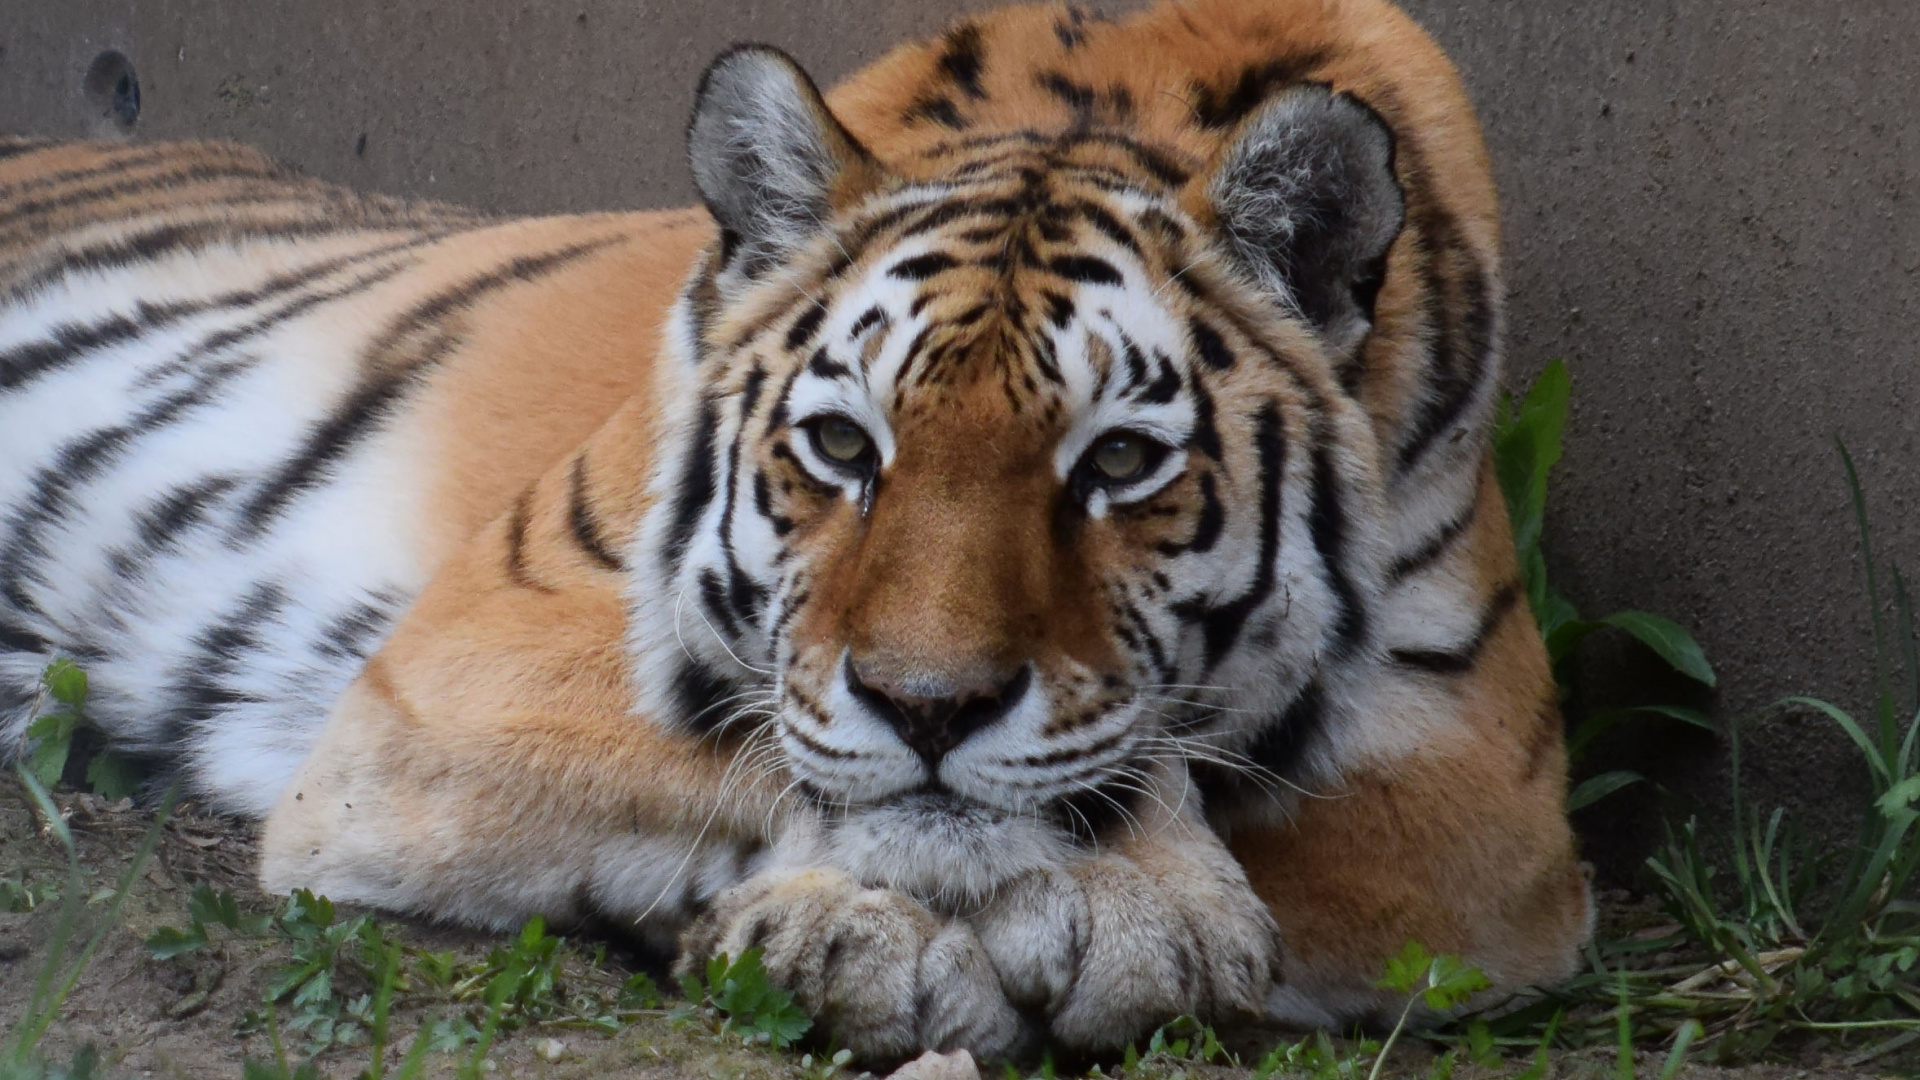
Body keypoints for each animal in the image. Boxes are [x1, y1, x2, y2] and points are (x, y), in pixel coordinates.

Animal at [0, 0, 1591, 1061]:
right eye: (842, 446)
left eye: (1122, 463)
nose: (929, 707)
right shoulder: (461, 664)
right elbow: (770, 748)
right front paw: (923, 928)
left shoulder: (1488, 808)